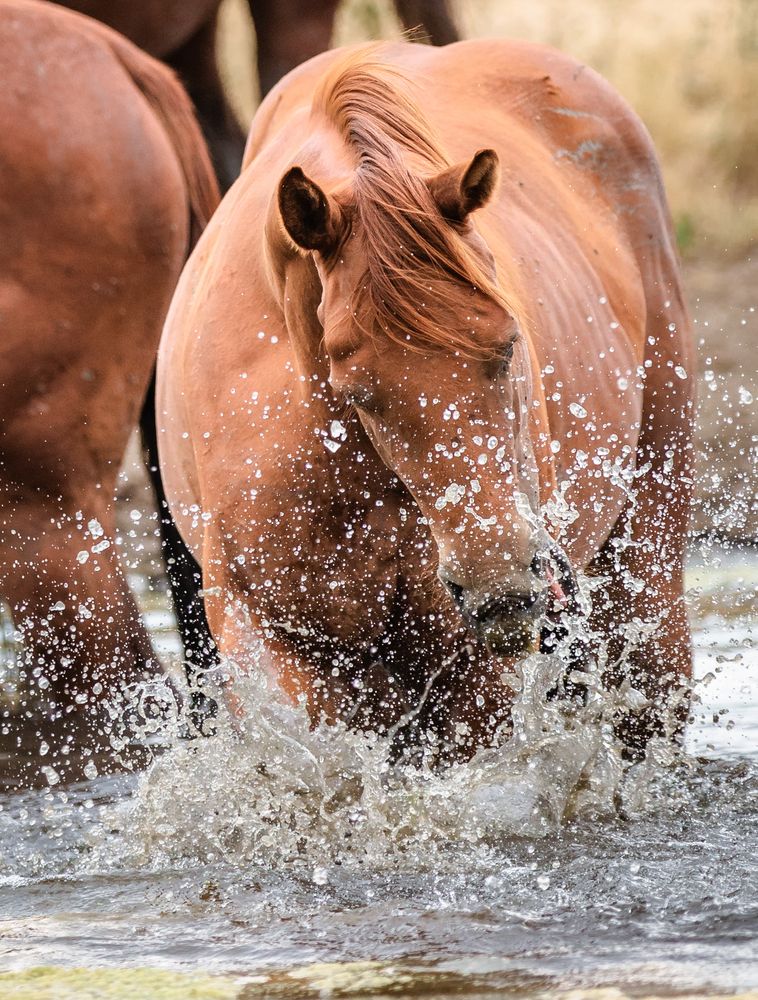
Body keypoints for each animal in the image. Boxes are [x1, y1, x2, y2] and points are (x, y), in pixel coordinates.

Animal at [157, 40, 695, 762]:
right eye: (356, 386)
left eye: (508, 345)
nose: (498, 581)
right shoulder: (280, 647)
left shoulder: (470, 670)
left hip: (645, 559)